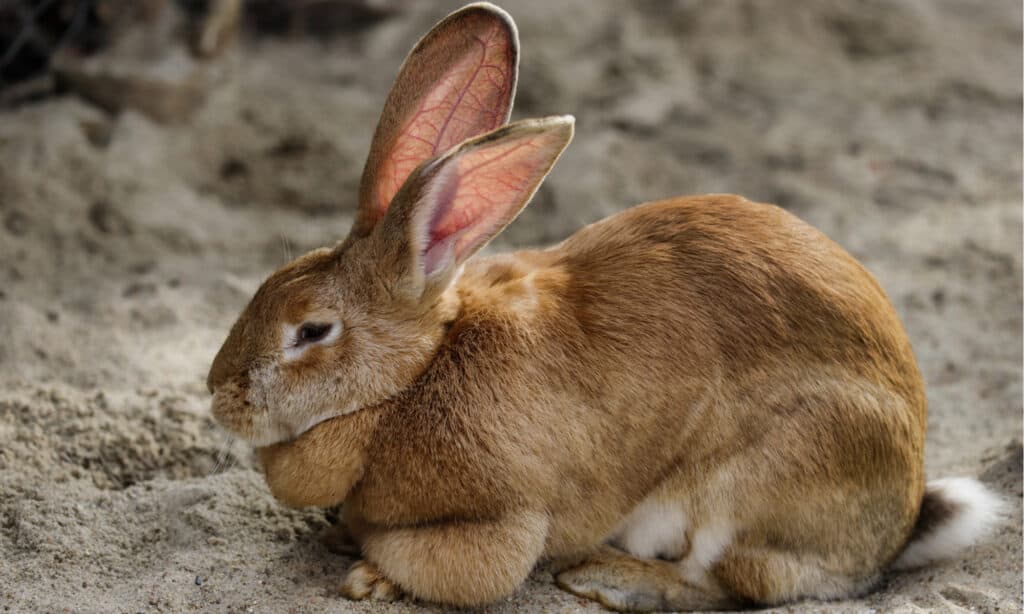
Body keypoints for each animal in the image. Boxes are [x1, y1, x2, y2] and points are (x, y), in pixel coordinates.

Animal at [203, 2, 1003, 609]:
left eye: (312, 330)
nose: (219, 396)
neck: (408, 382)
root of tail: (898, 522)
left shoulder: (501, 522)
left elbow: (459, 569)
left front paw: (370, 576)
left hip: (757, 482)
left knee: (731, 581)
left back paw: (610, 578)